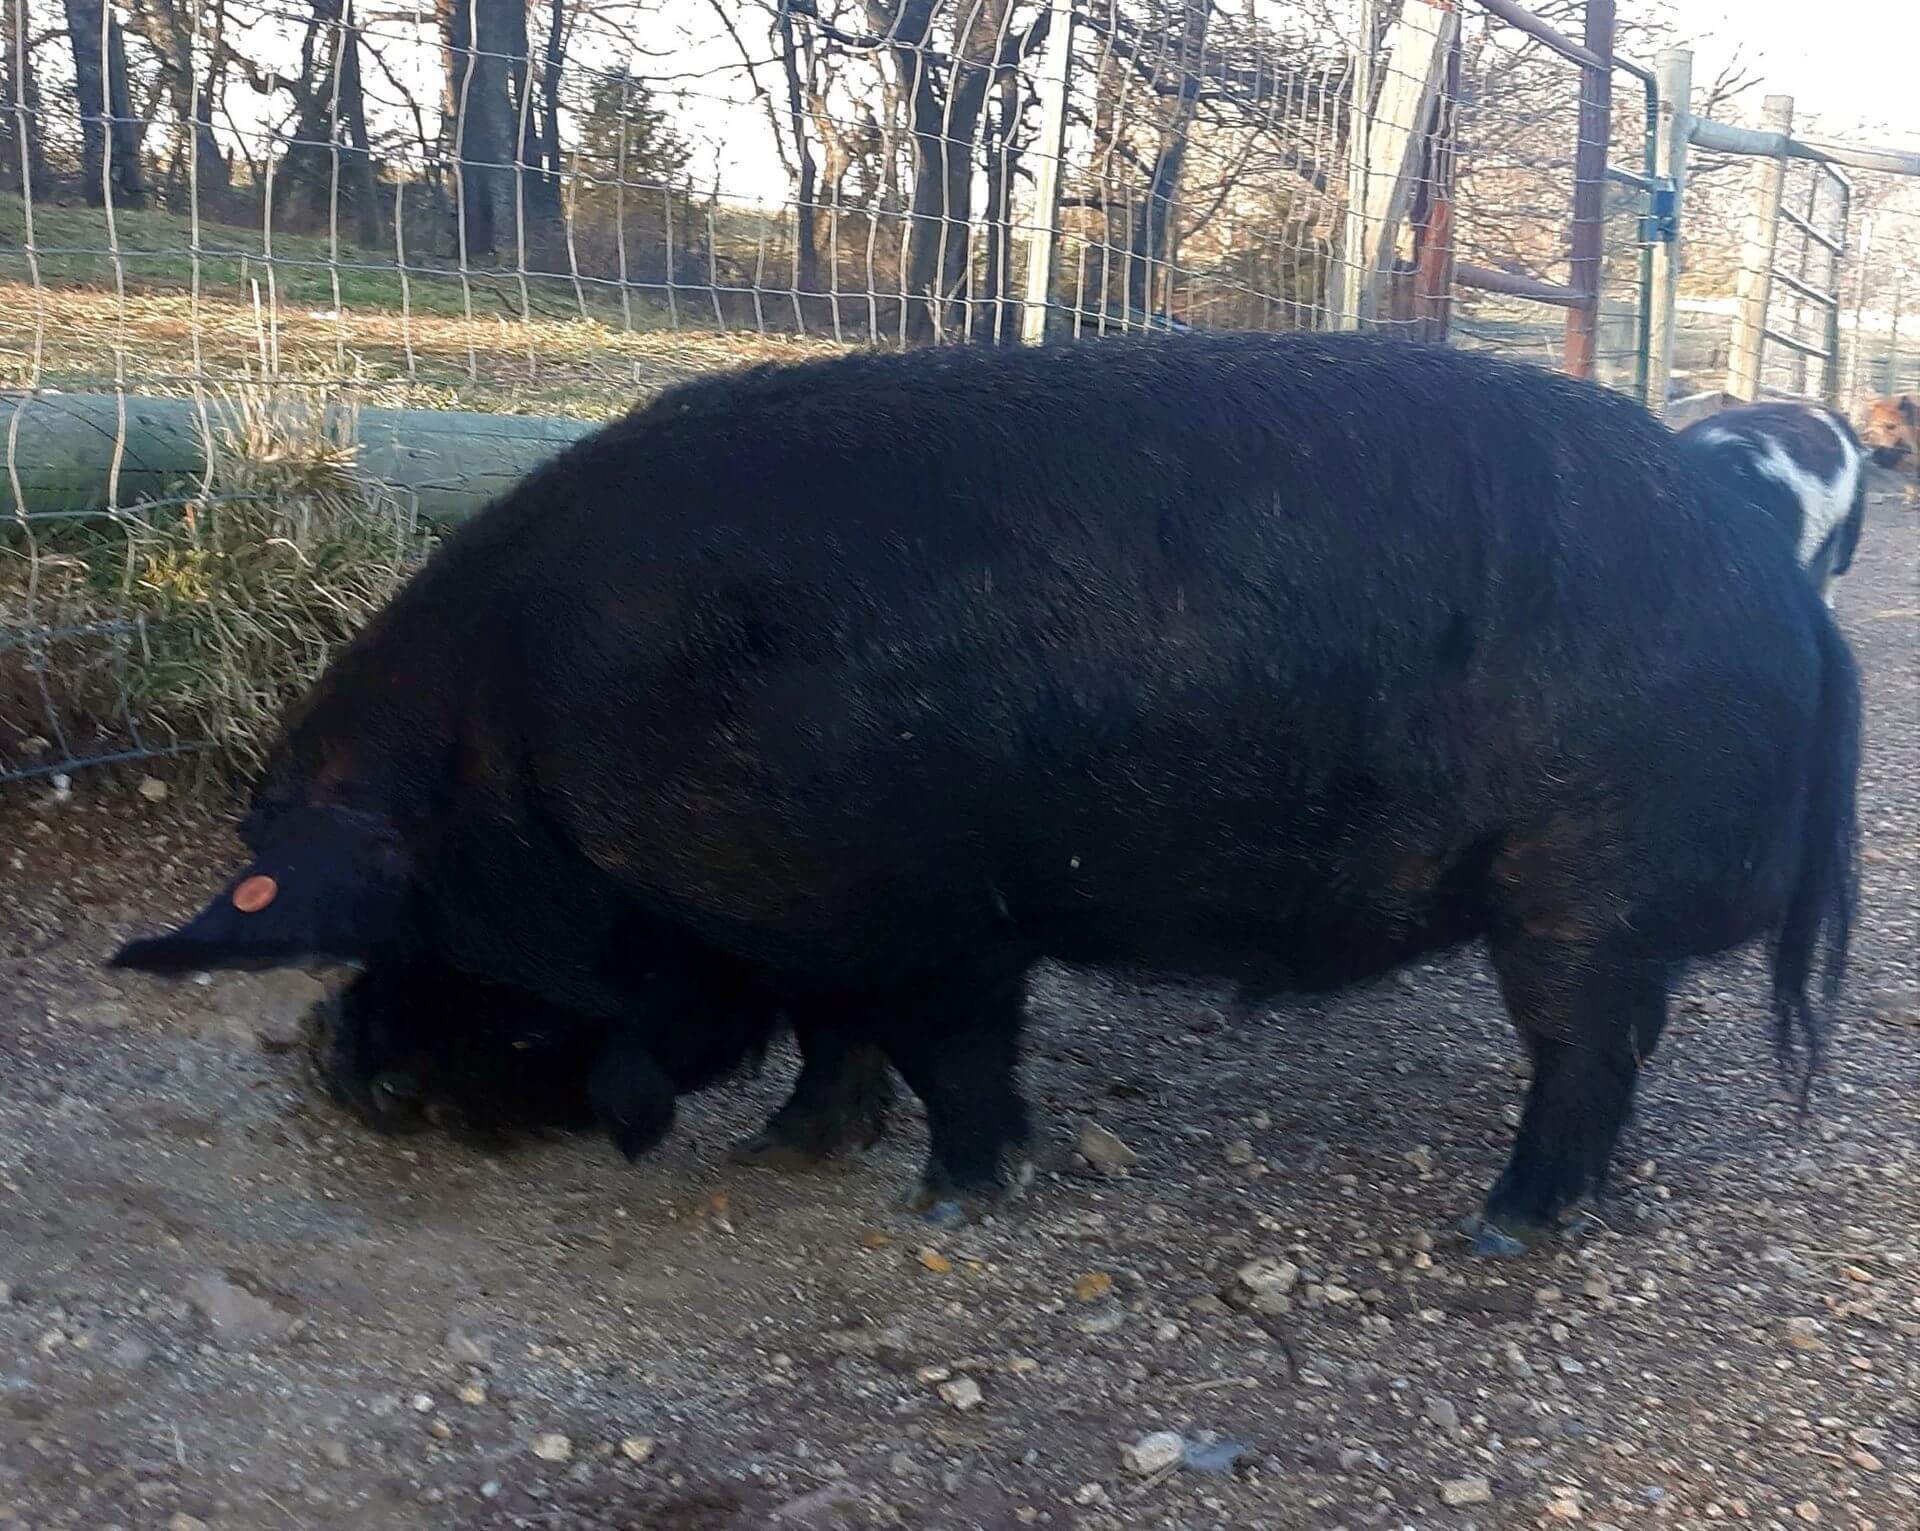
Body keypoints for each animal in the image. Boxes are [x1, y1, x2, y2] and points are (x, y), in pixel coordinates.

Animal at [108, 334, 1858, 1252]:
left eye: (426, 931)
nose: (335, 1062)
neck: (539, 758)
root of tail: (1777, 579)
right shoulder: (822, 924)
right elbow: (835, 1041)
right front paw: (790, 1155)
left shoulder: (930, 915)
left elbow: (949, 1054)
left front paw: (949, 1203)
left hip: (1589, 876)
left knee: (1587, 1052)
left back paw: (1501, 1226)